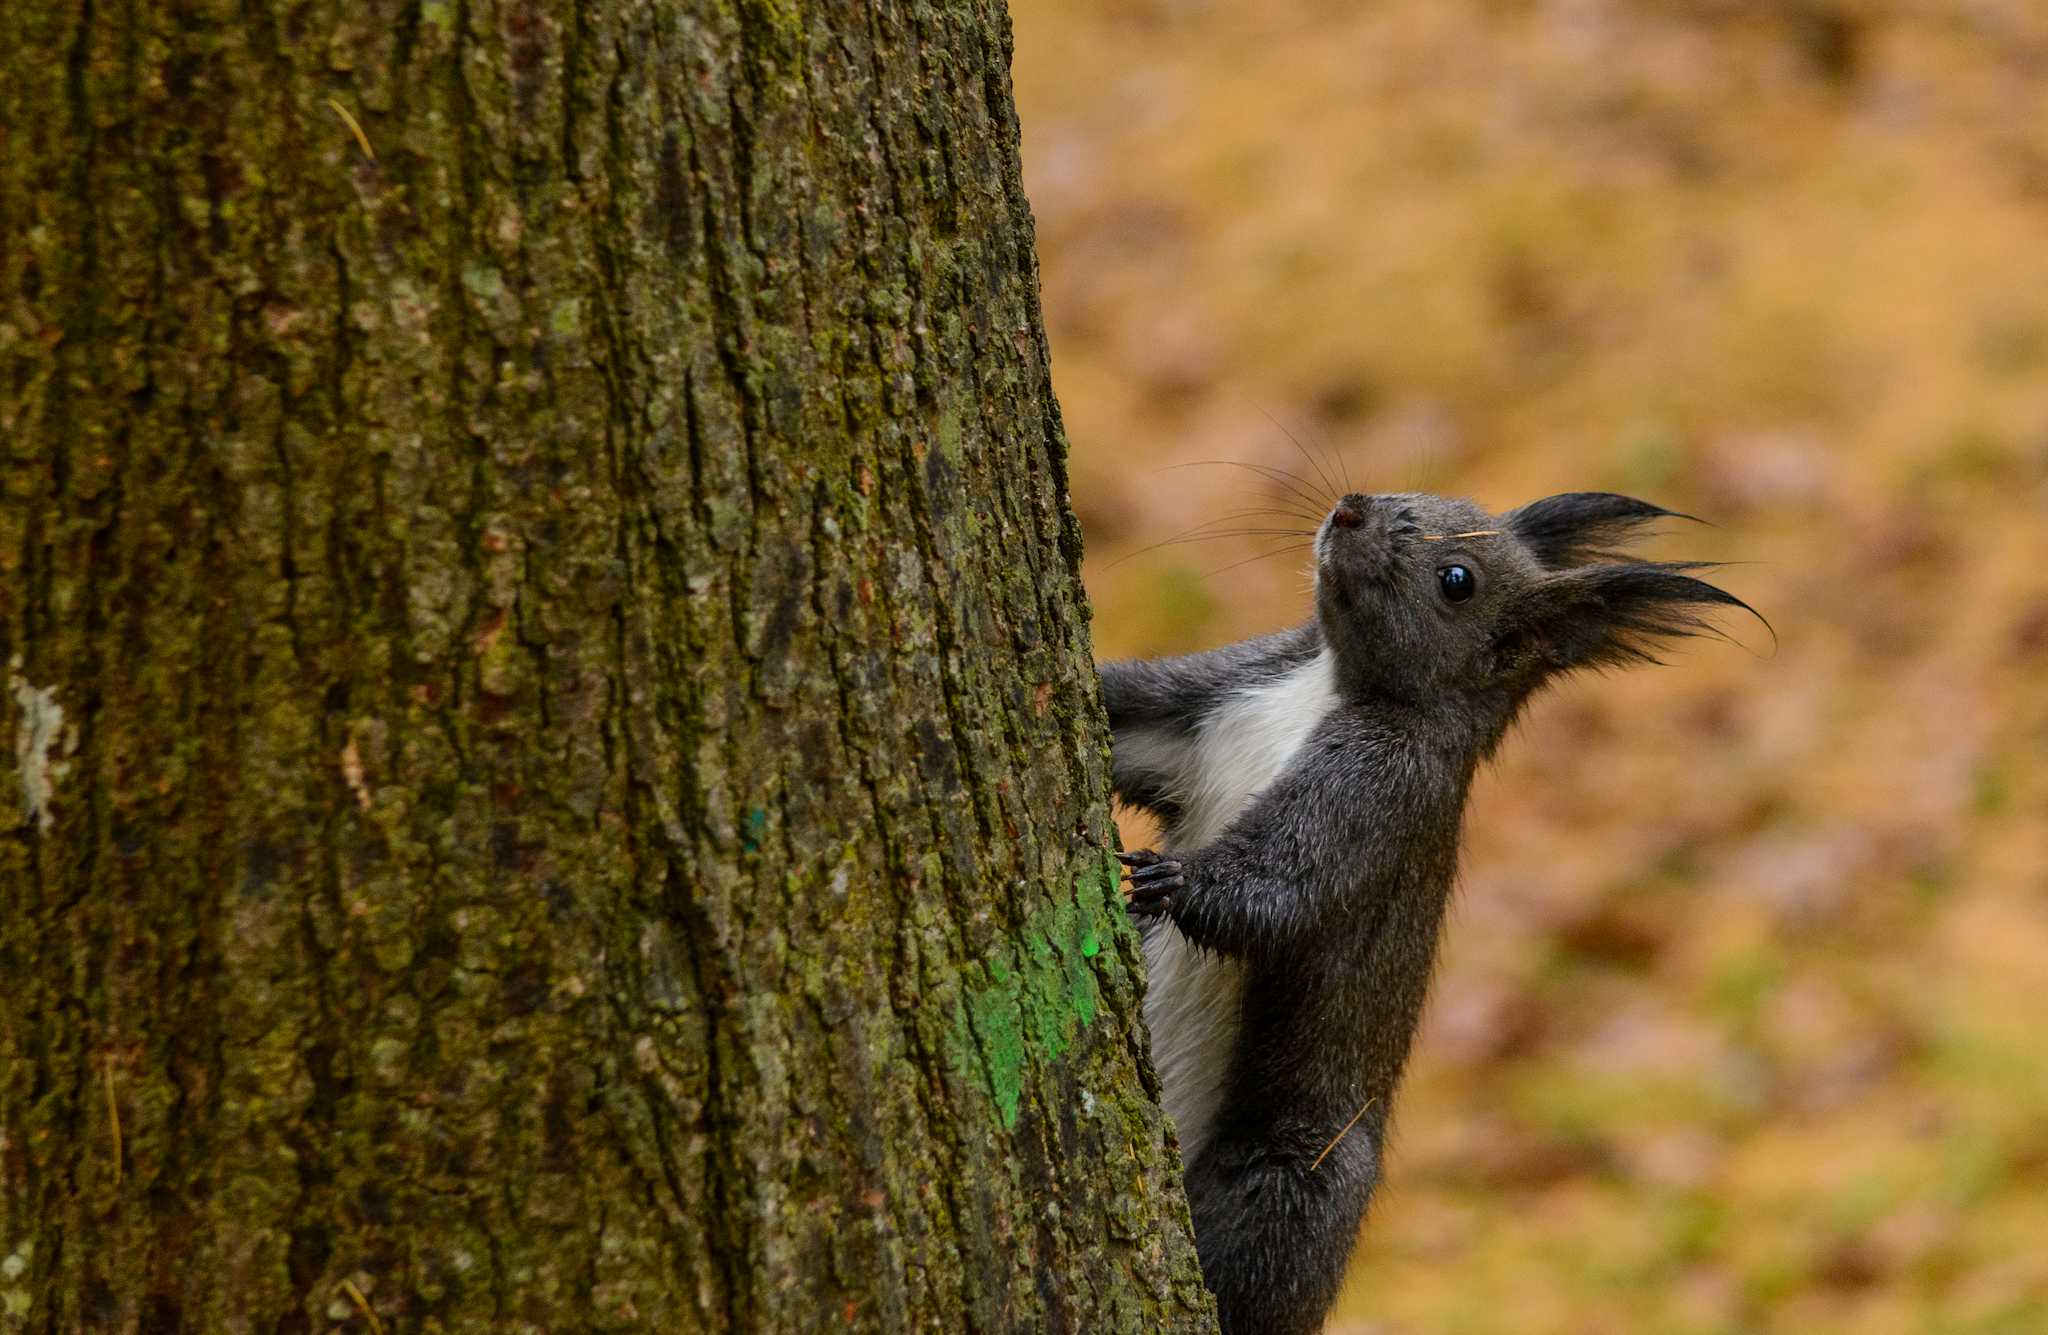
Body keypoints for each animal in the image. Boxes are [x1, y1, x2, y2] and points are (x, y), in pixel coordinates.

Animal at [1105, 489, 1761, 1334]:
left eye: (1458, 579)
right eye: (1421, 496)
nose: (1351, 509)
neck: (1326, 686)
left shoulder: (1383, 790)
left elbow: (1277, 888)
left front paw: (1172, 881)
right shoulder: (1214, 699)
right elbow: (1126, 717)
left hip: (1294, 1178)